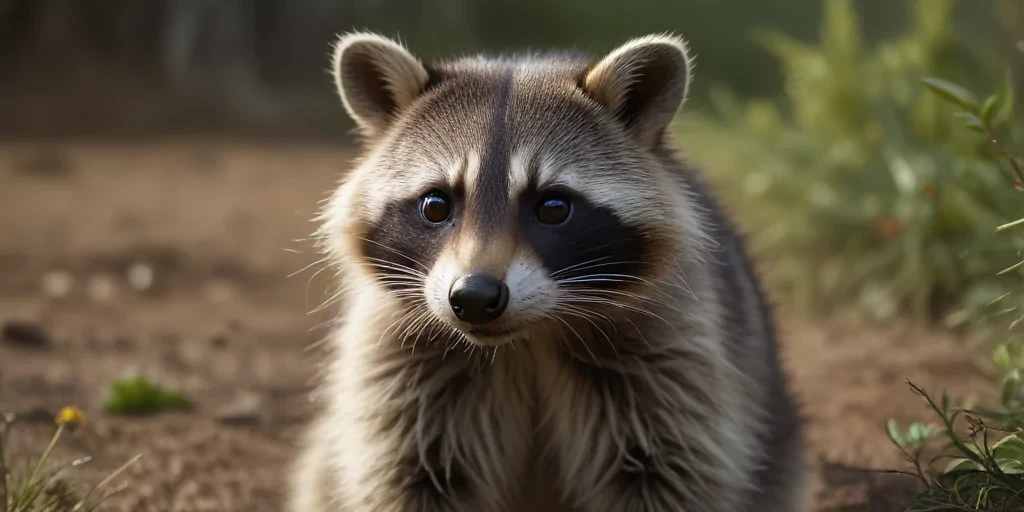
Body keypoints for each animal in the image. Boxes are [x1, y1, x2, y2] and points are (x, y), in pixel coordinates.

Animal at [290, 32, 810, 512]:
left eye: (553, 207)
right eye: (435, 205)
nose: (475, 296)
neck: (528, 336)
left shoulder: (674, 356)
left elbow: (672, 471)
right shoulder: (399, 364)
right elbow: (409, 473)